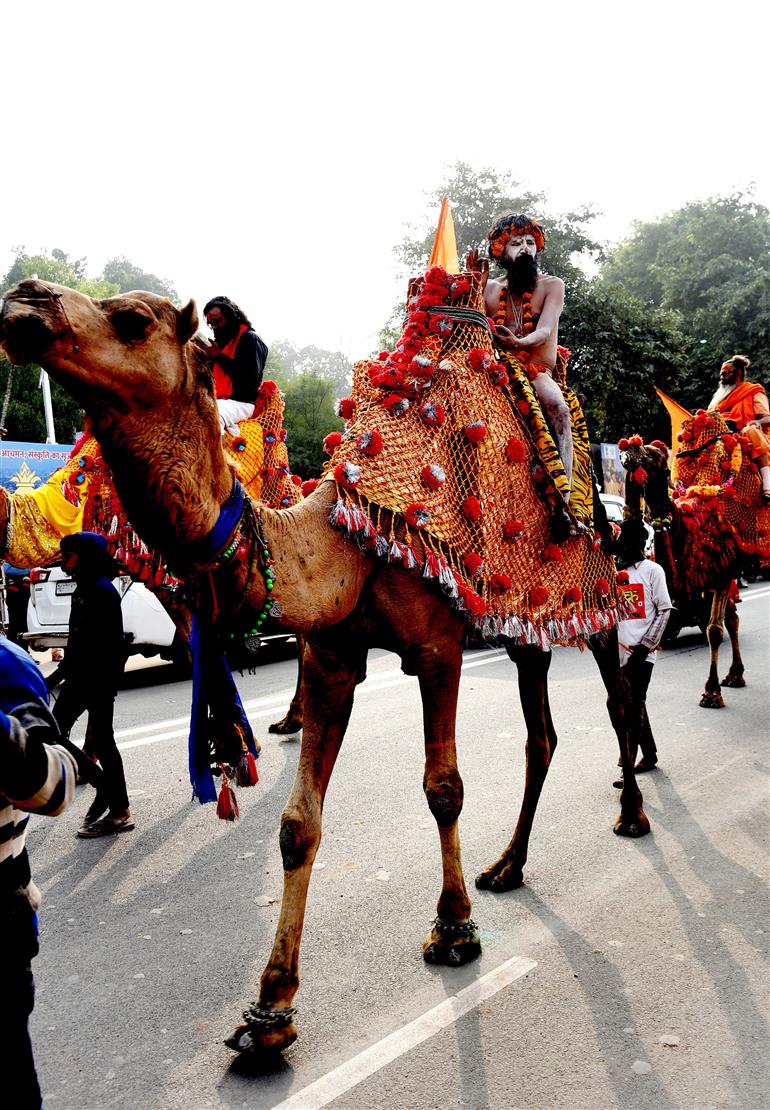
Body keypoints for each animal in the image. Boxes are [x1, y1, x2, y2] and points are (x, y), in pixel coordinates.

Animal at [1, 277, 652, 1056]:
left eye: (130, 318)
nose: (25, 298)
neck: (343, 541)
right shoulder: (332, 656)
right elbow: (296, 824)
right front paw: (270, 1010)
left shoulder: (438, 648)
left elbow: (443, 788)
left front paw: (453, 930)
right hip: (524, 624)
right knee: (542, 735)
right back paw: (508, 865)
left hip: (592, 592)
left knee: (615, 701)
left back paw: (631, 816)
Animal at [621, 419, 770, 705]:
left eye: (654, 454)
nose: (626, 450)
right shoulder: (710, 574)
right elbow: (722, 622)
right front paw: (722, 682)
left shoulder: (722, 572)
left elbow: (714, 630)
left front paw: (711, 692)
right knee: (733, 618)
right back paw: (735, 674)